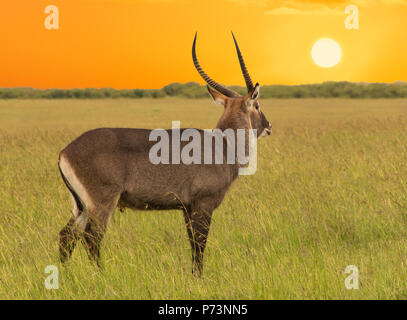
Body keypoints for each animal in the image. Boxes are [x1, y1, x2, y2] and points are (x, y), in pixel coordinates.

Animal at [57, 33, 272, 278]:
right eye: (257, 104)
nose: (269, 126)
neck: (223, 145)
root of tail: (65, 152)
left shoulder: (187, 208)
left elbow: (192, 243)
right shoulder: (203, 204)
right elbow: (200, 243)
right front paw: (199, 278)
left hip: (80, 205)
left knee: (66, 236)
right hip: (101, 203)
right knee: (91, 238)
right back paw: (102, 275)